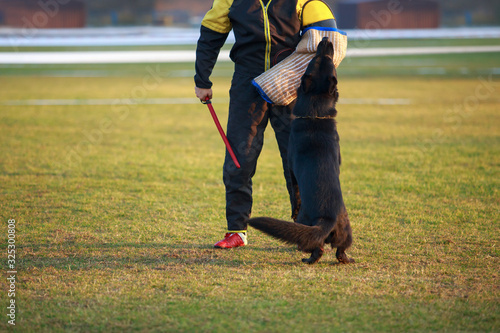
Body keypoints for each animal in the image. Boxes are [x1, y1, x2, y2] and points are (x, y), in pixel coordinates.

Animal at [248, 37, 354, 264]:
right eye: (317, 59)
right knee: (337, 250)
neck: (315, 113)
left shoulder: (291, 168)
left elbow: (293, 188)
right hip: (346, 229)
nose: (326, 39)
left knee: (319, 248)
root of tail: (327, 218)